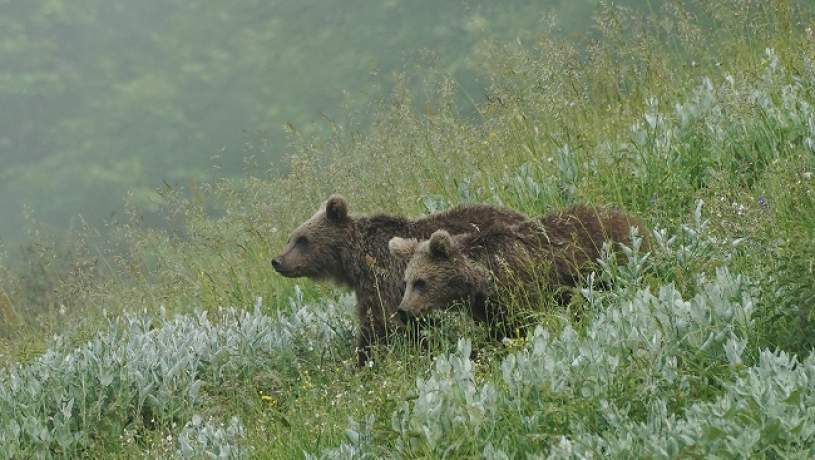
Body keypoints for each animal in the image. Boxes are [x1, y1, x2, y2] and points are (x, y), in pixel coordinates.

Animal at [270, 195, 524, 366]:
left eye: (303, 239)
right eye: (291, 237)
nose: (277, 261)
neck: (355, 259)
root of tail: (519, 214)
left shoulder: (384, 279)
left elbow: (378, 324)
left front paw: (363, 362)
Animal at [388, 207, 652, 332]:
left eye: (421, 282)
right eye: (406, 282)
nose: (404, 310)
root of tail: (631, 218)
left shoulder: (518, 284)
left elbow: (526, 319)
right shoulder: (486, 306)